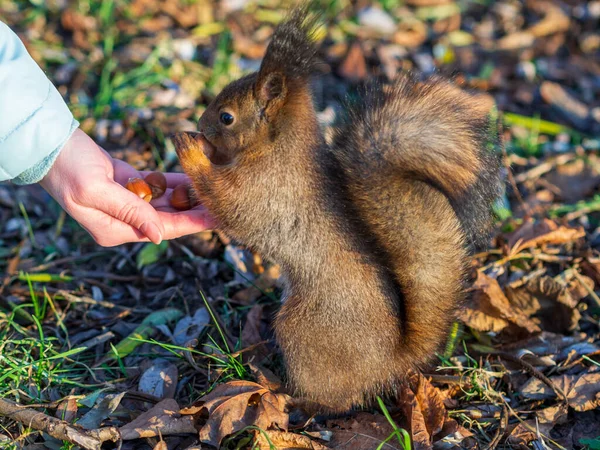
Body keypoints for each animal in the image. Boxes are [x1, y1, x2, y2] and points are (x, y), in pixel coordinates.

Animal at [172, 5, 502, 412]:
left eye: (226, 117)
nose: (201, 123)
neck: (279, 147)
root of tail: (392, 362)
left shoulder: (263, 188)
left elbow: (226, 200)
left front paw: (190, 149)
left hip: (303, 330)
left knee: (334, 397)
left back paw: (290, 395)